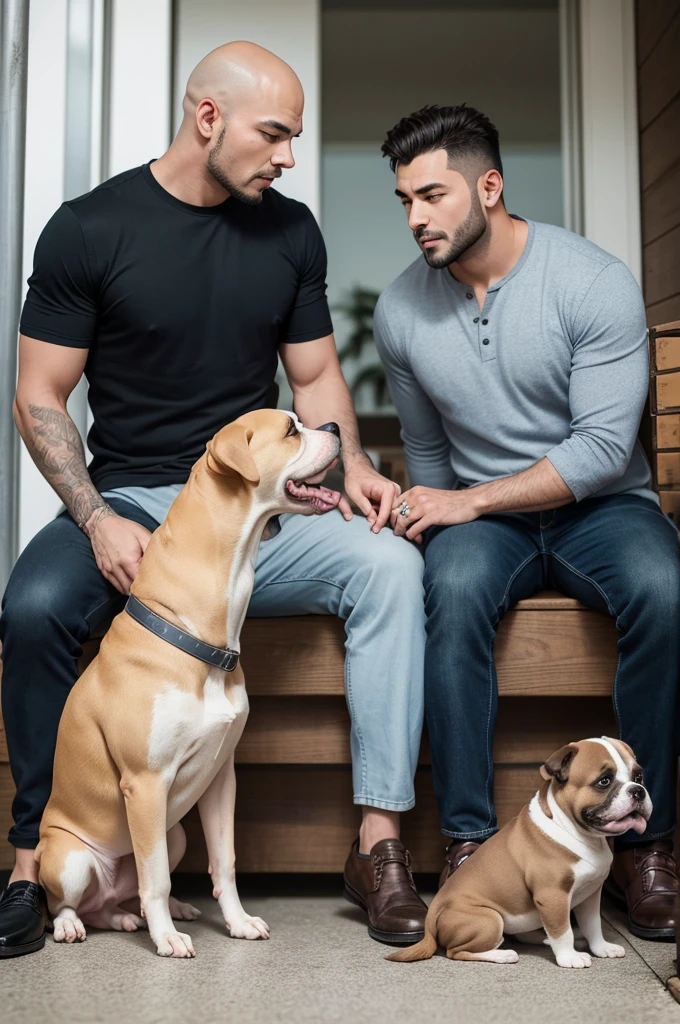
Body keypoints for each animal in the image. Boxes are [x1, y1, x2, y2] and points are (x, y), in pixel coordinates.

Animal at [387, 737, 647, 966]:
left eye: (638, 776)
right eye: (604, 781)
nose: (638, 790)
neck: (582, 835)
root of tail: (431, 919)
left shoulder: (591, 895)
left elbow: (593, 926)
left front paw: (601, 948)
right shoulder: (552, 896)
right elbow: (563, 931)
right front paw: (569, 958)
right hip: (490, 919)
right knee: (457, 951)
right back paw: (503, 955)